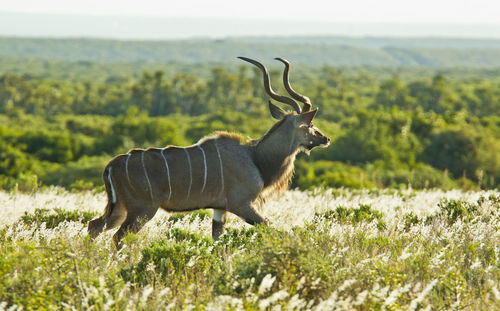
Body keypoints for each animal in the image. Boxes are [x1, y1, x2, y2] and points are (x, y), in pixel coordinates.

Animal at [88, 57, 330, 247]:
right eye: (310, 125)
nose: (325, 138)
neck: (255, 158)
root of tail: (111, 166)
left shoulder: (219, 209)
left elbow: (217, 241)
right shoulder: (241, 205)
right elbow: (267, 227)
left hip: (120, 209)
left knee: (94, 226)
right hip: (142, 210)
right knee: (118, 237)